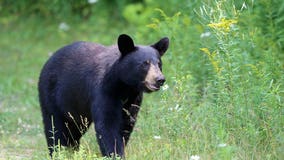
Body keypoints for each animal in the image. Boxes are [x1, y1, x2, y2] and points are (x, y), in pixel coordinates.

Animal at [38, 34, 170, 158]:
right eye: (144, 64)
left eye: (159, 64)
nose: (159, 79)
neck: (124, 86)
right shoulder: (104, 91)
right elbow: (107, 125)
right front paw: (115, 154)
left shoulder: (133, 98)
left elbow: (126, 124)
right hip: (52, 95)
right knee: (55, 128)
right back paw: (58, 152)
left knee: (74, 130)